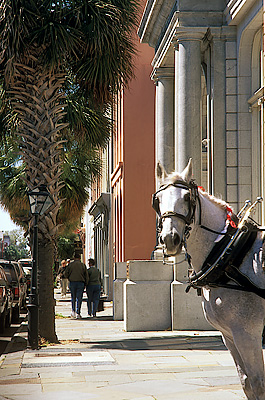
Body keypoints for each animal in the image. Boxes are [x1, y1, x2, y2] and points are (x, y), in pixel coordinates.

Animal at [154, 160, 264, 400]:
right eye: (157, 200)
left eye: (187, 198)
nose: (170, 239)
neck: (228, 253)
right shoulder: (229, 335)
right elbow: (246, 383)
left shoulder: (247, 333)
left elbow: (258, 383)